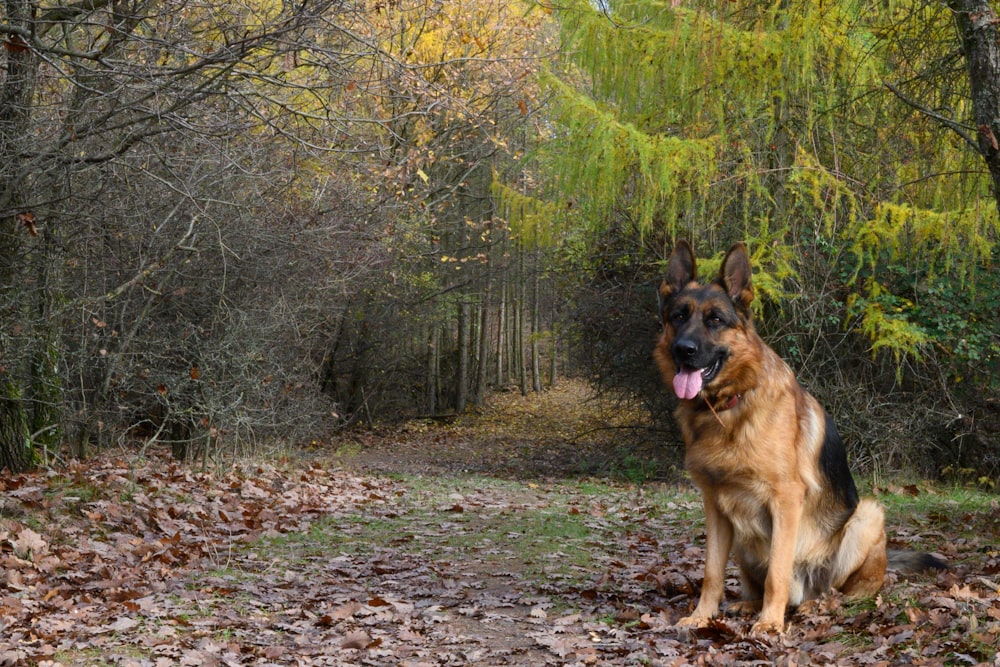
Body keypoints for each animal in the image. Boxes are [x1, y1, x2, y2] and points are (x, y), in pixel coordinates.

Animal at [656, 243, 944, 636]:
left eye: (715, 319)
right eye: (678, 316)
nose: (683, 349)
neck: (730, 405)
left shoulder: (786, 499)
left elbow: (777, 572)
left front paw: (769, 624)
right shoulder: (715, 507)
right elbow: (712, 572)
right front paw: (702, 616)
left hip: (866, 517)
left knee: (845, 590)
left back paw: (815, 605)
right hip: (744, 541)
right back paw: (747, 604)